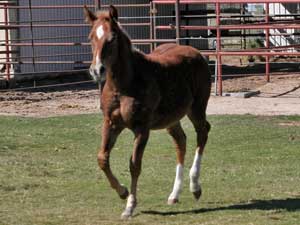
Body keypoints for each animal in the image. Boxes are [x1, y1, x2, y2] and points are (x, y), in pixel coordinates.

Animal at [84, 5, 211, 220]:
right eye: (91, 37)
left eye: (112, 38)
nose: (97, 70)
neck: (123, 85)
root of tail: (196, 52)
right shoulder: (110, 123)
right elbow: (102, 158)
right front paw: (123, 191)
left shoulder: (142, 128)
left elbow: (135, 164)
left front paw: (129, 206)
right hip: (172, 118)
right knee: (181, 141)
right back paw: (174, 194)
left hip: (197, 108)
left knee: (202, 132)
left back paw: (195, 187)